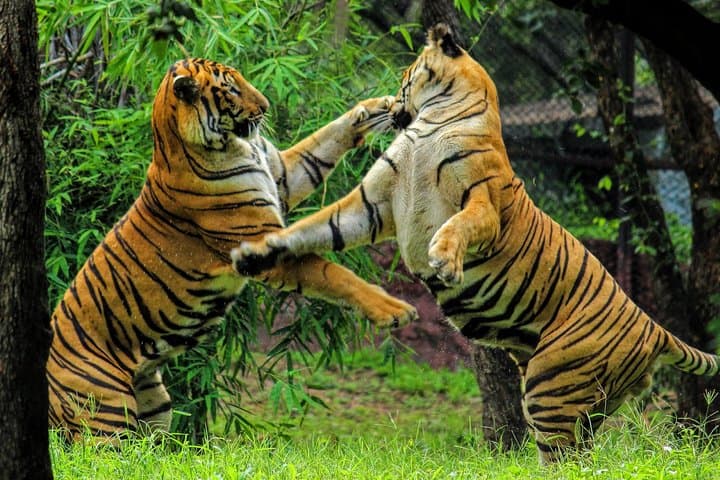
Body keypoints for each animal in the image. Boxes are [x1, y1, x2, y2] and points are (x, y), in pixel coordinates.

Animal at [47, 58, 417, 440]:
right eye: (232, 89)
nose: (267, 106)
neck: (236, 146)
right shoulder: (262, 244)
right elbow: (333, 274)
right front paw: (394, 310)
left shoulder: (283, 175)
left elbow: (324, 140)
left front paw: (375, 107)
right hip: (107, 413)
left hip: (155, 405)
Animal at [231, 25, 720, 463]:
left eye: (405, 77)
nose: (391, 102)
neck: (431, 122)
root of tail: (653, 327)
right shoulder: (373, 204)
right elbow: (314, 226)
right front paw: (256, 250)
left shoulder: (483, 202)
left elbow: (458, 226)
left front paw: (444, 261)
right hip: (575, 399)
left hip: (552, 385)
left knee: (566, 458)